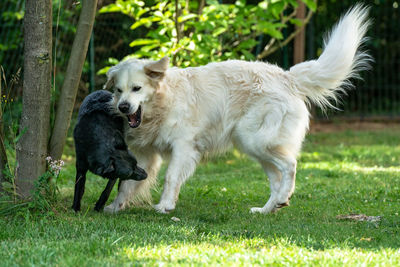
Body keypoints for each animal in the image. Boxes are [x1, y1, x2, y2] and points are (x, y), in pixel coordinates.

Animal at [104, 5, 372, 215]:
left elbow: (170, 177)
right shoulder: (145, 154)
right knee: (276, 179)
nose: (123, 107)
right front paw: (115, 207)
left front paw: (165, 205)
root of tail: (287, 76)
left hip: (254, 139)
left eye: (137, 88)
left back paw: (283, 197)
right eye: (118, 90)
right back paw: (269, 207)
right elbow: (125, 183)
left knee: (290, 165)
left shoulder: (183, 146)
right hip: (255, 147)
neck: (162, 103)